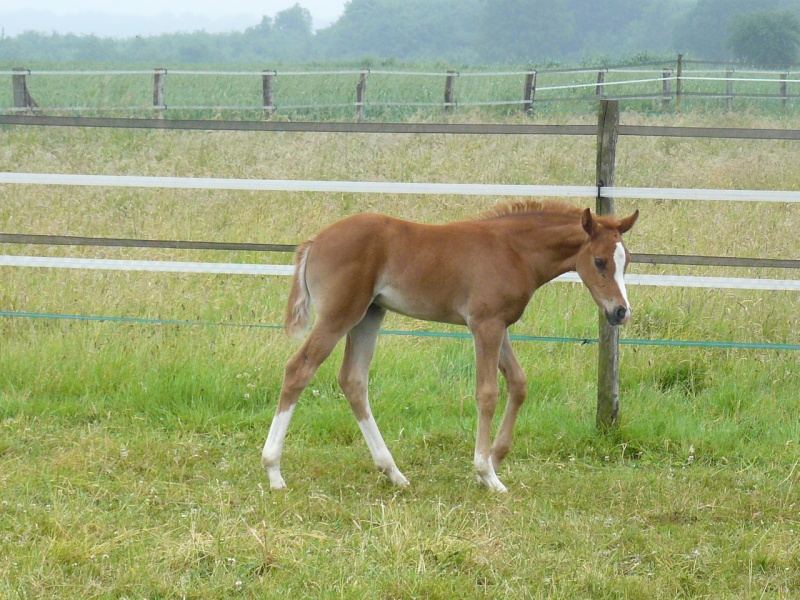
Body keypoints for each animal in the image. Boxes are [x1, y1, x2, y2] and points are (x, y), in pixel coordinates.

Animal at [262, 202, 636, 492]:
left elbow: (518, 383)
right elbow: (487, 393)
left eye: (627, 260)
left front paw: (495, 459)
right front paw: (487, 473)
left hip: (370, 314)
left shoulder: (499, 325)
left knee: (353, 380)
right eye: (599, 261)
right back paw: (274, 470)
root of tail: (315, 241)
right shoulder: (484, 325)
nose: (620, 312)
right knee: (299, 369)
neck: (513, 250)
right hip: (340, 315)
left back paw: (393, 473)